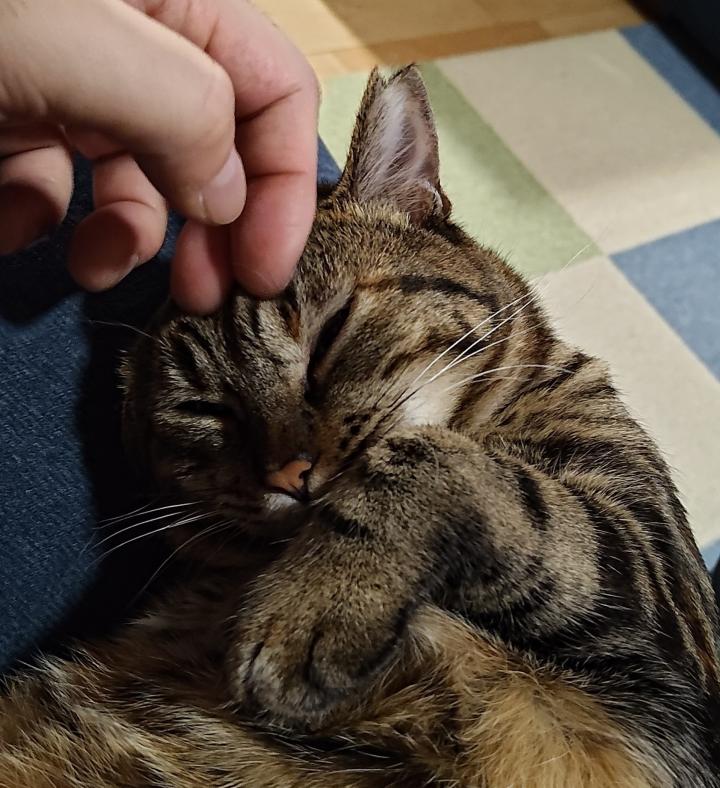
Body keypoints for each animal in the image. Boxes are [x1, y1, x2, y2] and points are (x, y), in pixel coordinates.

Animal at [1, 66, 718, 788]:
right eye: (206, 411)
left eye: (330, 335)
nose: (287, 472)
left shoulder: (654, 577)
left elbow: (436, 459)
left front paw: (312, 607)